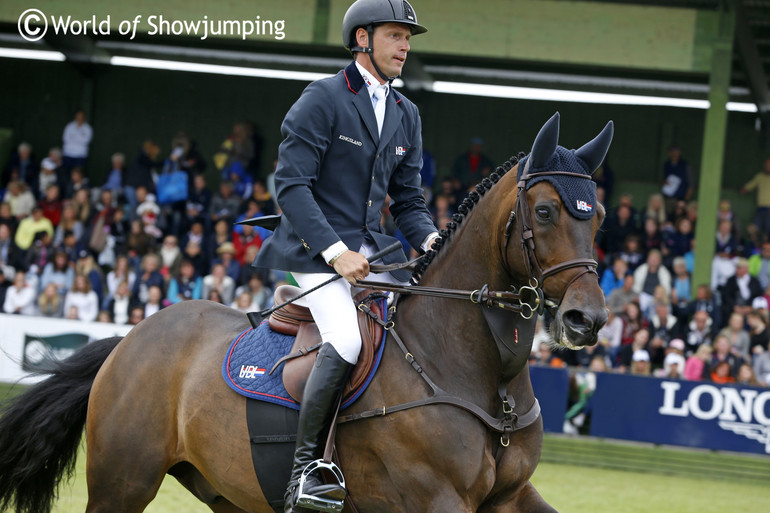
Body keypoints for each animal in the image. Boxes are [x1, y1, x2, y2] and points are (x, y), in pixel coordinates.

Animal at [0, 112, 612, 512]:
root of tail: (129, 339)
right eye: (545, 211)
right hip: (121, 483)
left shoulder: (511, 496)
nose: (587, 321)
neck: (485, 376)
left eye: (600, 215)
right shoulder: (437, 498)